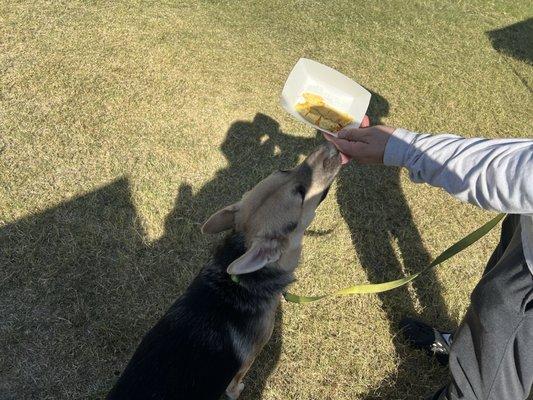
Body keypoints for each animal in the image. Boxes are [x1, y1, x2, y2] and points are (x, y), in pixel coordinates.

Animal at [107, 142, 340, 398]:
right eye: (300, 193)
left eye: (285, 169)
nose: (331, 145)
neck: (237, 283)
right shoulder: (247, 361)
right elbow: (235, 383)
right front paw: (237, 390)